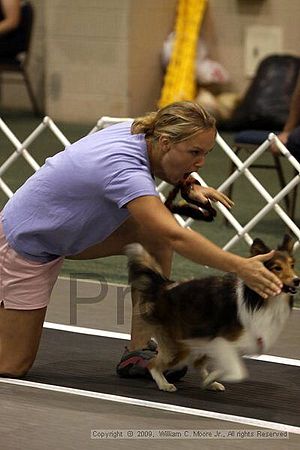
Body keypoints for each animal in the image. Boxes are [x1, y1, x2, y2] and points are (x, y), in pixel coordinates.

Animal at [125, 237, 298, 392]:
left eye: (292, 265)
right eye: (277, 268)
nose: (297, 280)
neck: (260, 299)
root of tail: (165, 286)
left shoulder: (232, 343)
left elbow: (229, 366)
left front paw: (211, 378)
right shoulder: (223, 340)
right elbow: (238, 372)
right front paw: (218, 377)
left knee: (196, 363)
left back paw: (210, 383)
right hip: (181, 345)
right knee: (153, 364)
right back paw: (164, 384)